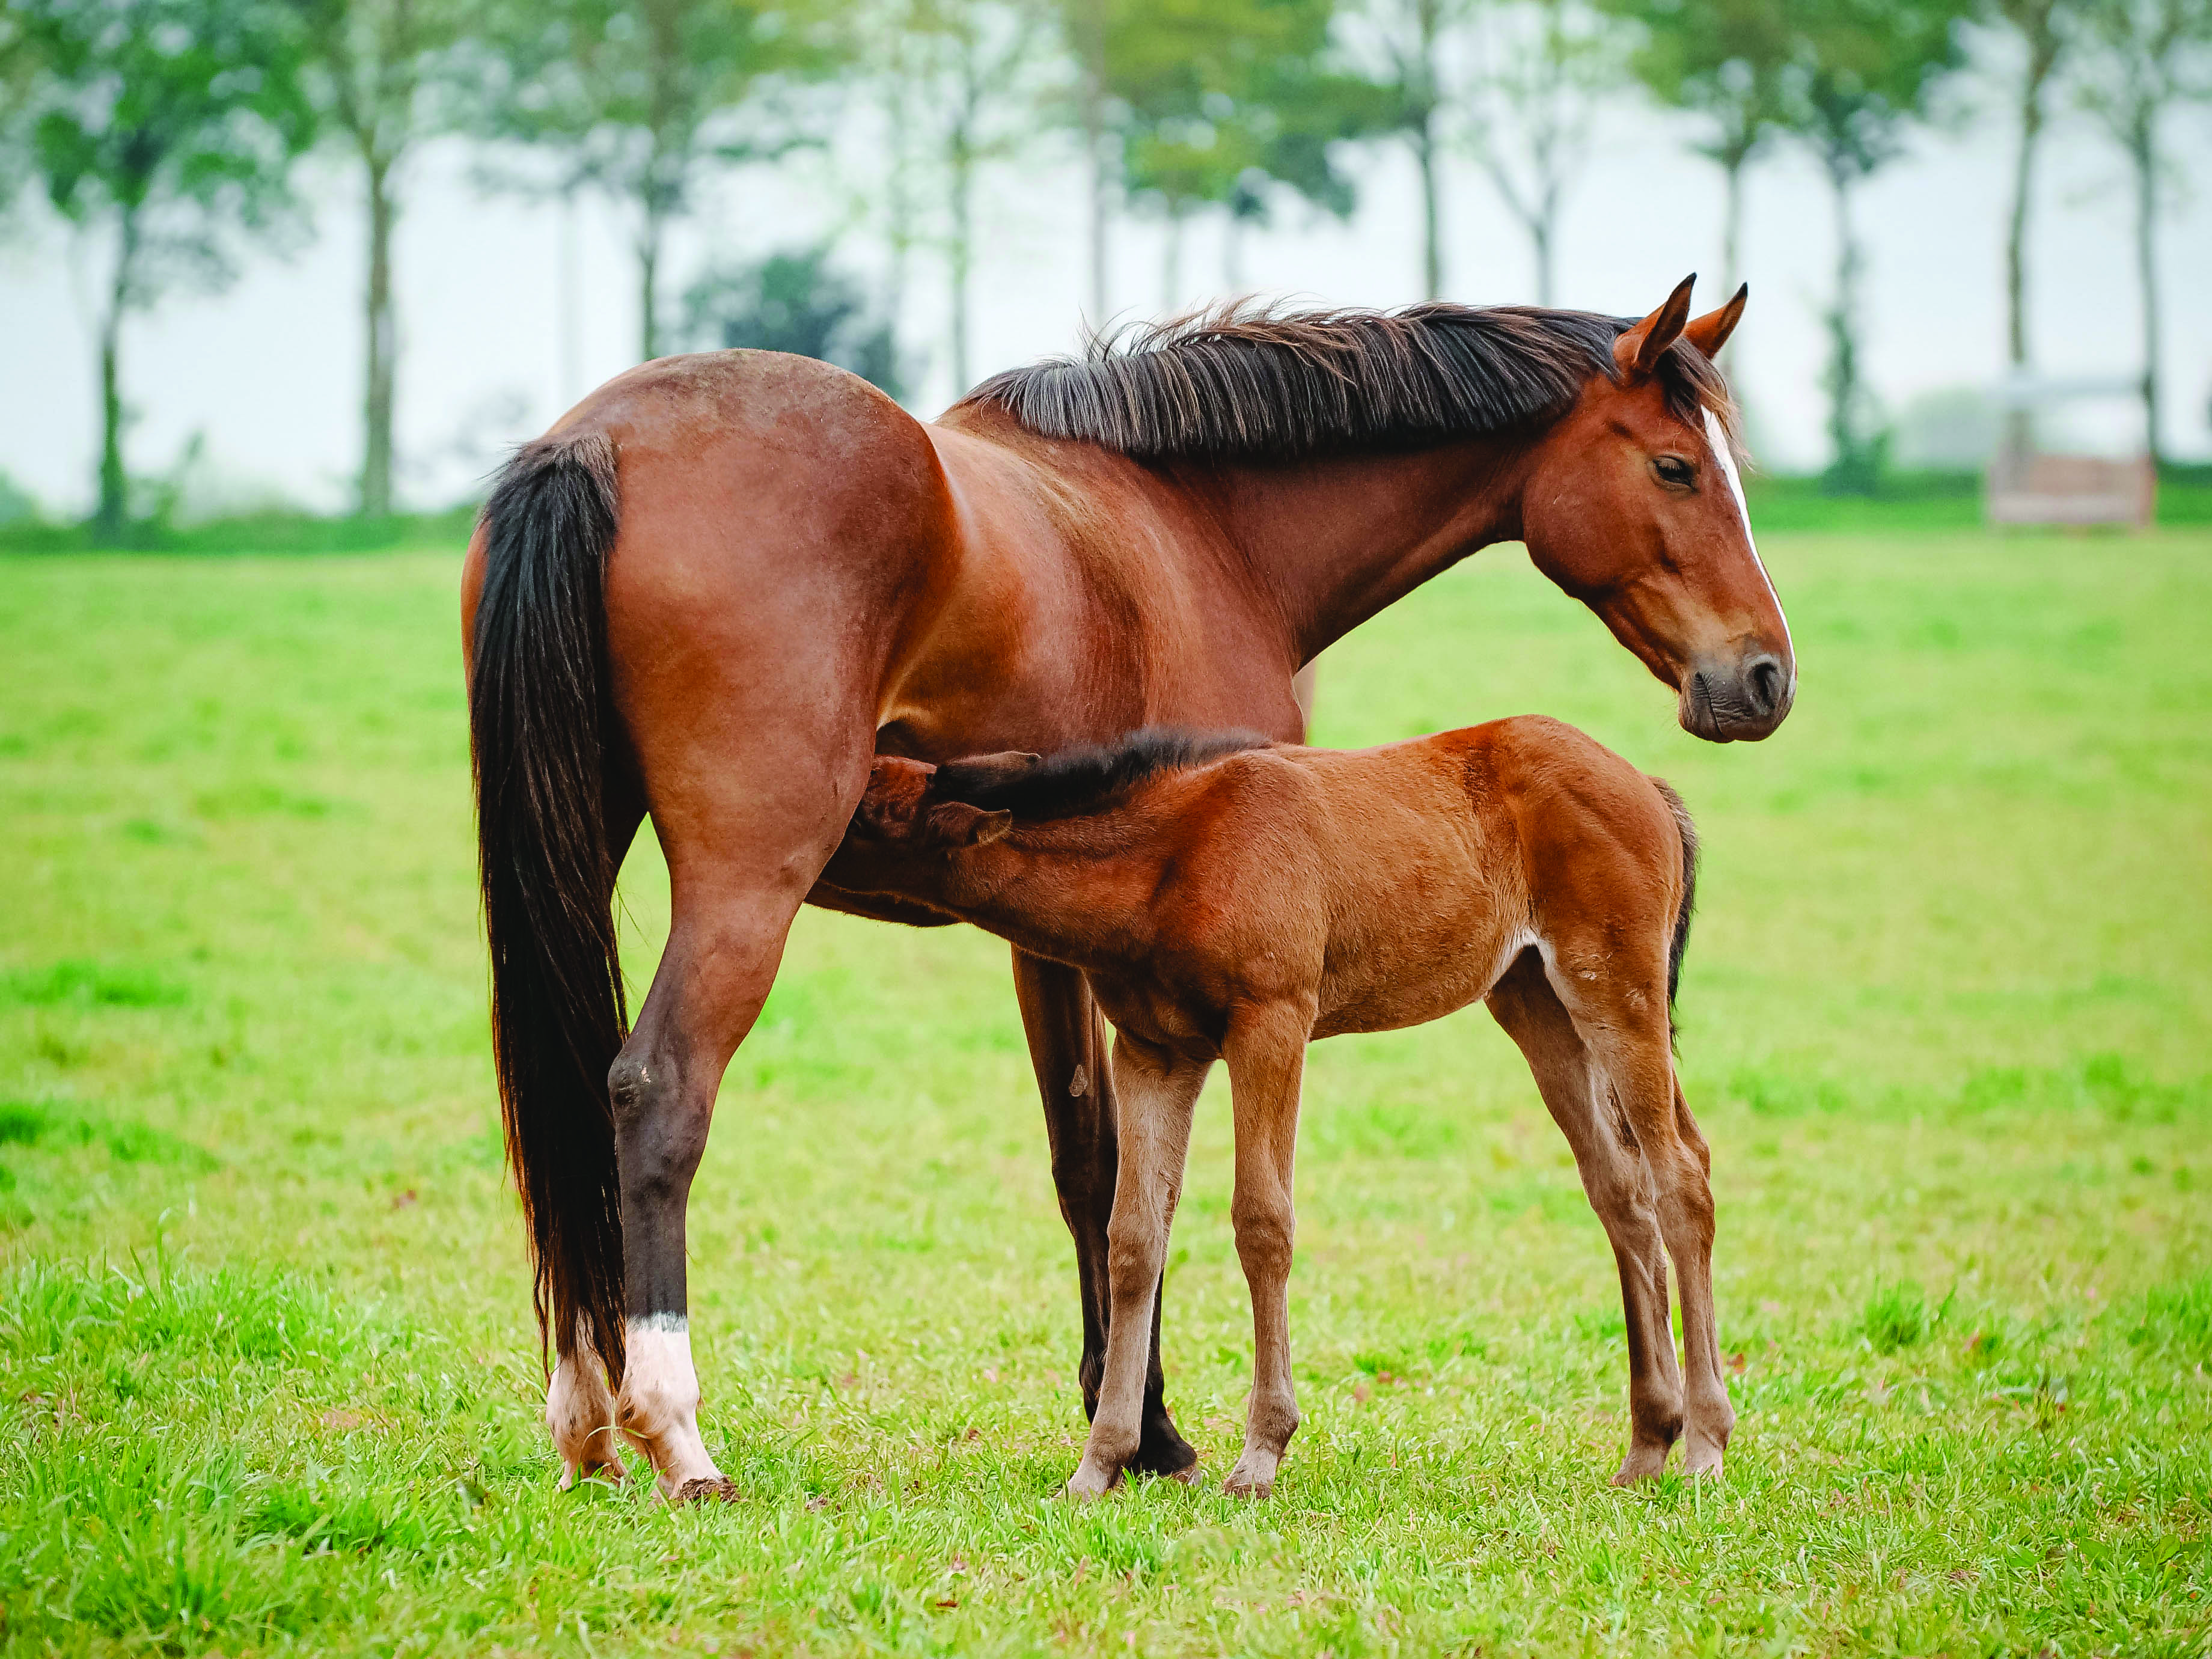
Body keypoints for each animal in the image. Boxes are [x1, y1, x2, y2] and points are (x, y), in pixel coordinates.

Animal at [831, 721, 1725, 1504]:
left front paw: (1260, 1454)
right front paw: (1101, 1464)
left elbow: (1262, 1223)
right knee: (1620, 1190)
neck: (1169, 859)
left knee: (1681, 1174)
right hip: (1536, 1002)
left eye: (868, 810)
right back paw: (1649, 1444)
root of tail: (1645, 786)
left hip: (1617, 988)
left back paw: (1705, 1445)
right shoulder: (1154, 1051)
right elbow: (1134, 1239)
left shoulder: (1272, 1024)